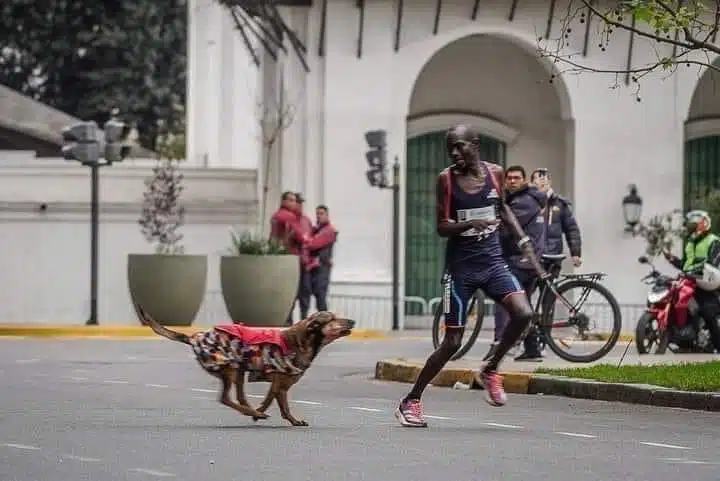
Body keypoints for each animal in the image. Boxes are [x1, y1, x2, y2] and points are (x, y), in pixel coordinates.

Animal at [138, 306, 354, 426]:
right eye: (332, 319)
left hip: (239, 370)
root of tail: (194, 337)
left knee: (240, 397)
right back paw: (252, 412)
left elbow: (272, 400)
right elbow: (281, 405)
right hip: (230, 368)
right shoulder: (281, 384)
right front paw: (282, 418)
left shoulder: (278, 384)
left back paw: (251, 411)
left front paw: (270, 414)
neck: (303, 341)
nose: (352, 320)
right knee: (225, 398)